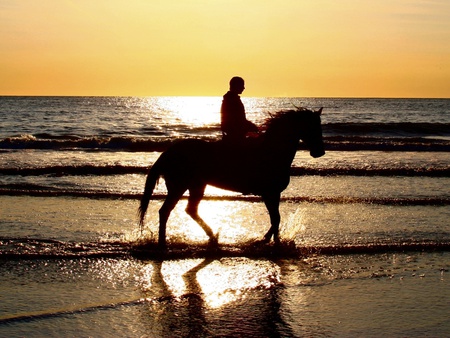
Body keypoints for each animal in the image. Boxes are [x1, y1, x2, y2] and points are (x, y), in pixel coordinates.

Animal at [137, 108, 324, 248]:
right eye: (313, 127)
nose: (320, 152)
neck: (272, 152)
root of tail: (168, 152)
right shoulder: (269, 193)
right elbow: (275, 219)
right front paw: (267, 240)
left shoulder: (273, 193)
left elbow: (275, 219)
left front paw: (271, 241)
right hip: (179, 186)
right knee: (165, 211)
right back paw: (163, 242)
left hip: (196, 186)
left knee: (190, 210)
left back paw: (212, 236)